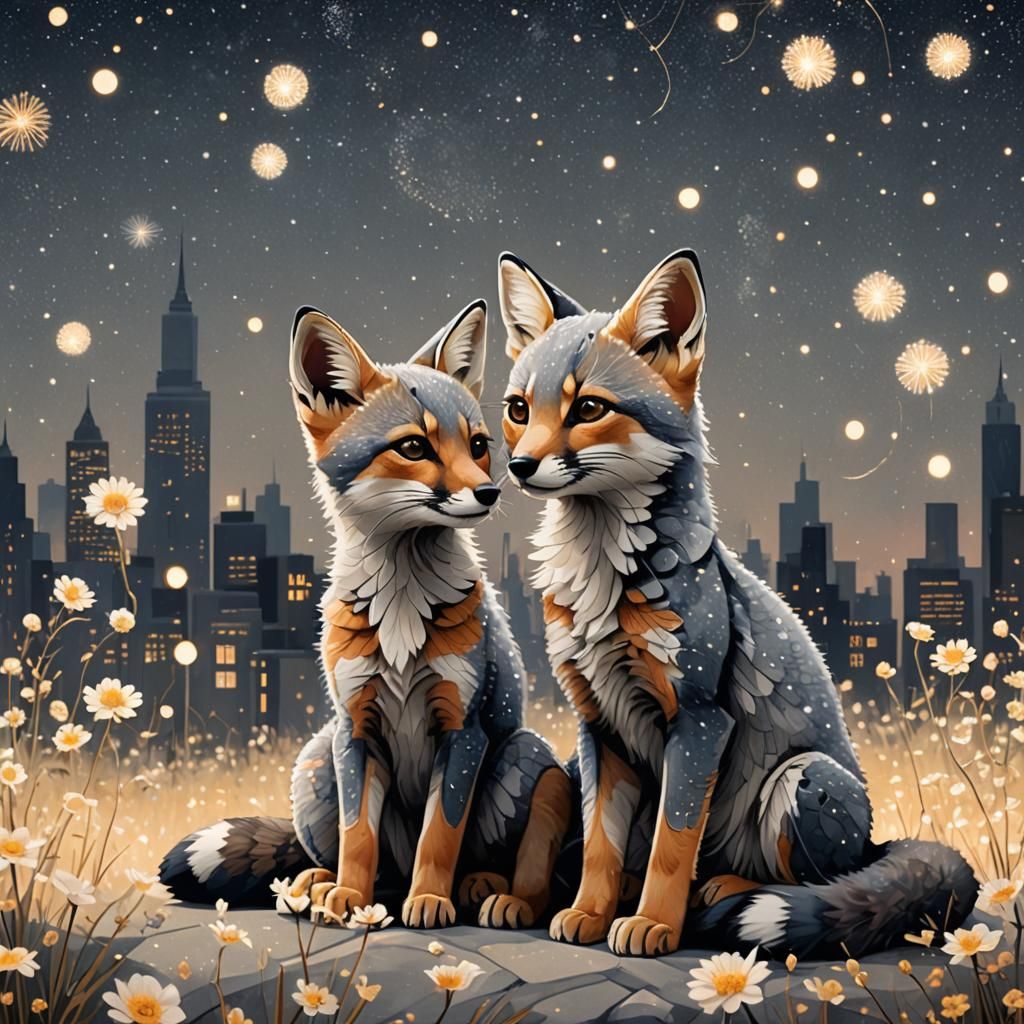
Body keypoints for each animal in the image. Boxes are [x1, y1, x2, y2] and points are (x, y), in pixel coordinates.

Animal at [161, 299, 572, 932]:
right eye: (414, 447)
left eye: (479, 445)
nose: (490, 493)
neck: (402, 609)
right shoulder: (355, 728)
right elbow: (359, 837)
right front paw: (350, 897)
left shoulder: (463, 730)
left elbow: (440, 834)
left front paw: (430, 901)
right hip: (315, 760)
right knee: (367, 863)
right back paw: (318, 885)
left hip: (526, 754)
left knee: (494, 857)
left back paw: (481, 888)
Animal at [495, 249, 977, 959]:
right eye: (519, 409)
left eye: (587, 408)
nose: (520, 467)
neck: (603, 585)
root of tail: (875, 840)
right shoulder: (599, 725)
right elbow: (601, 848)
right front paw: (589, 912)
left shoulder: (701, 719)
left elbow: (673, 845)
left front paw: (653, 924)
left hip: (801, 779)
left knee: (812, 878)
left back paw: (723, 890)